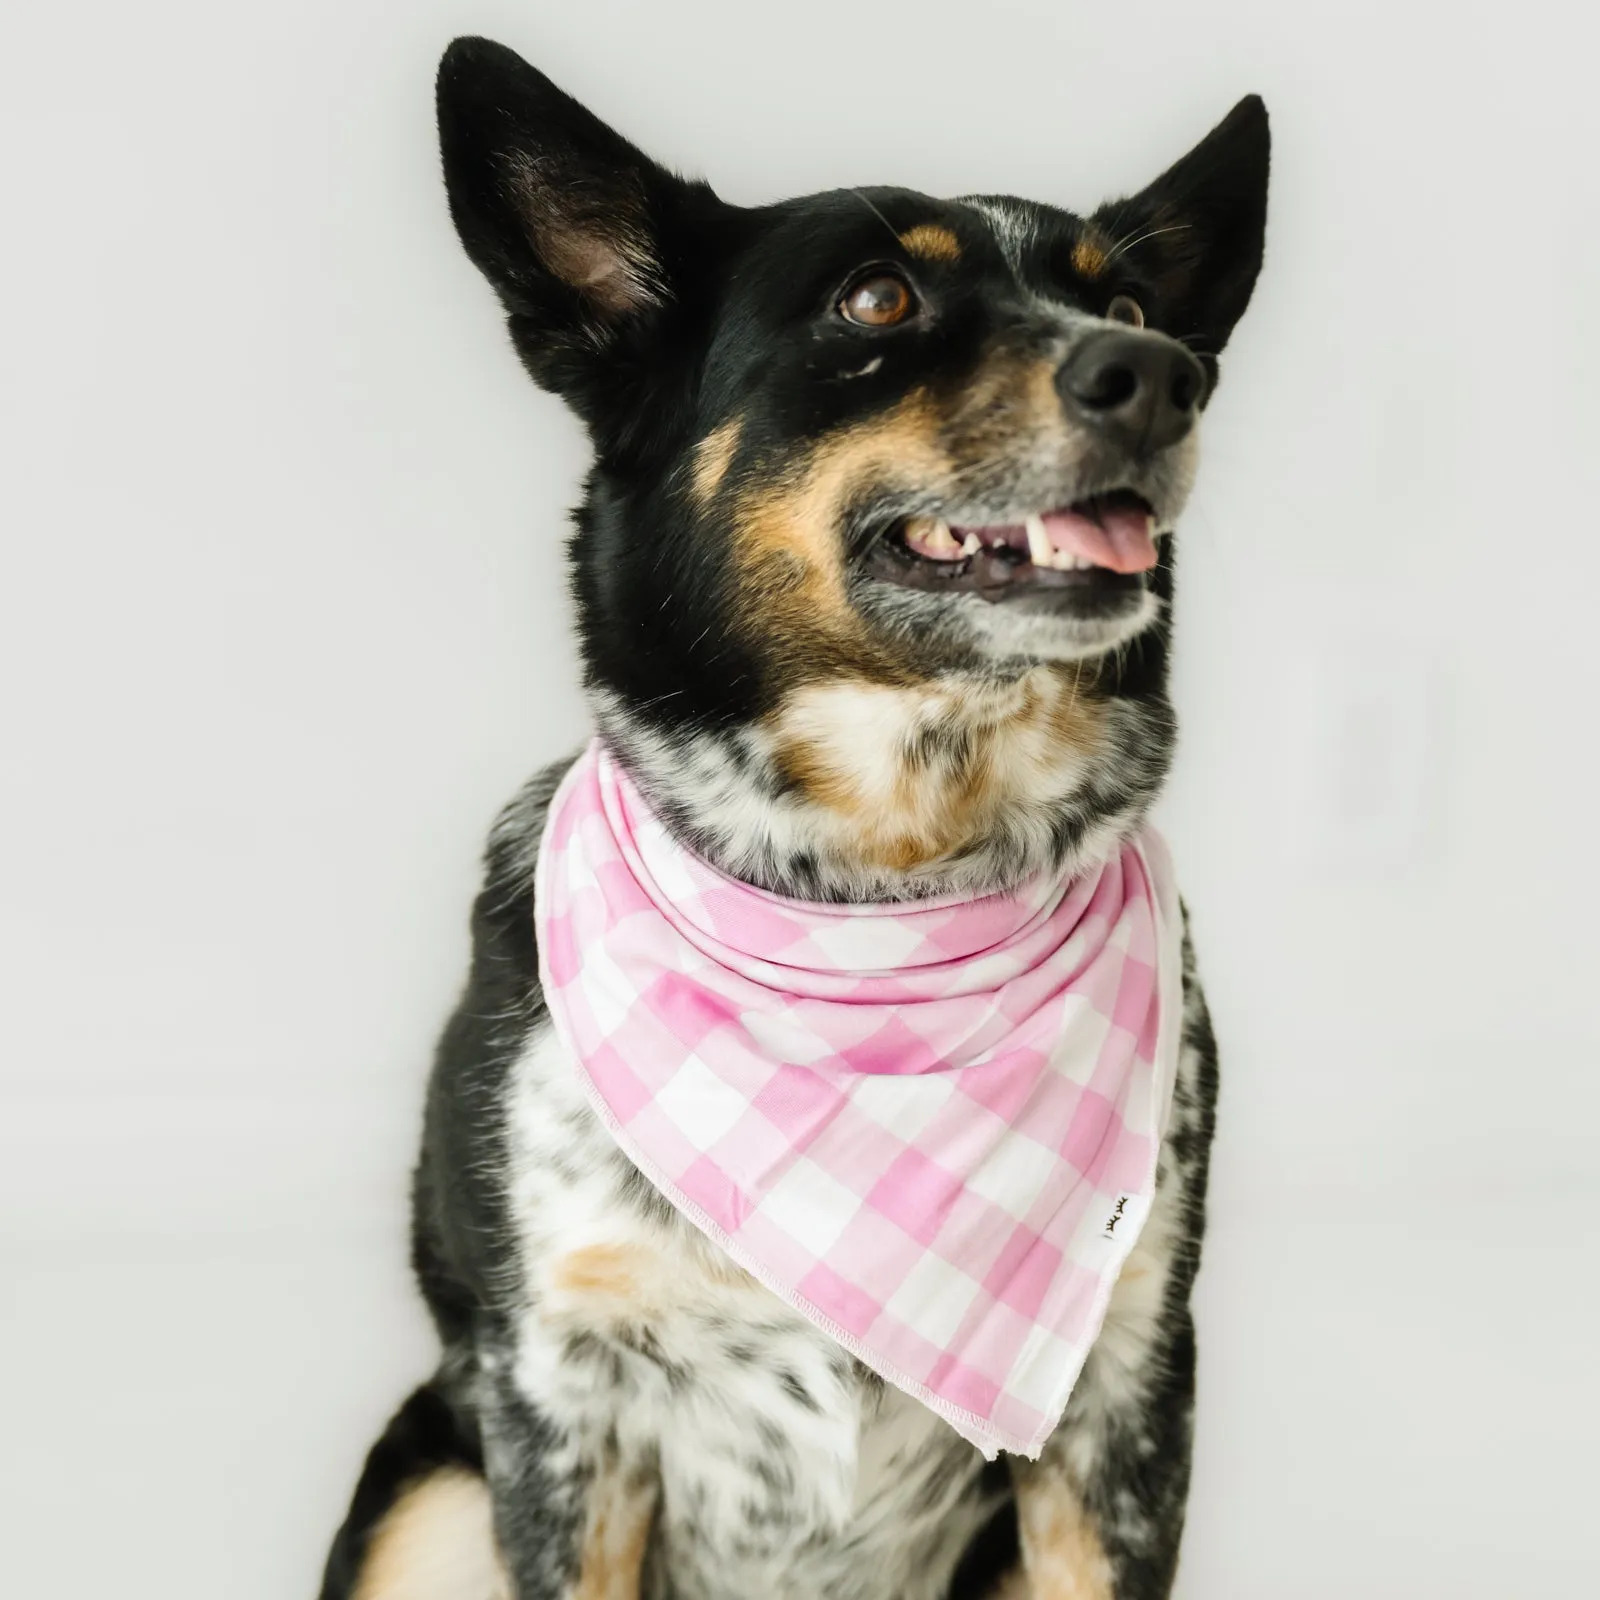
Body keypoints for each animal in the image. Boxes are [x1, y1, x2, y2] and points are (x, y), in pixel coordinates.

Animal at [321, 37, 1273, 1600]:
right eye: (874, 300)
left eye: (1127, 303)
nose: (1162, 373)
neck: (879, 890)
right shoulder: (558, 1403)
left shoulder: (1128, 1392)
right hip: (429, 1495)